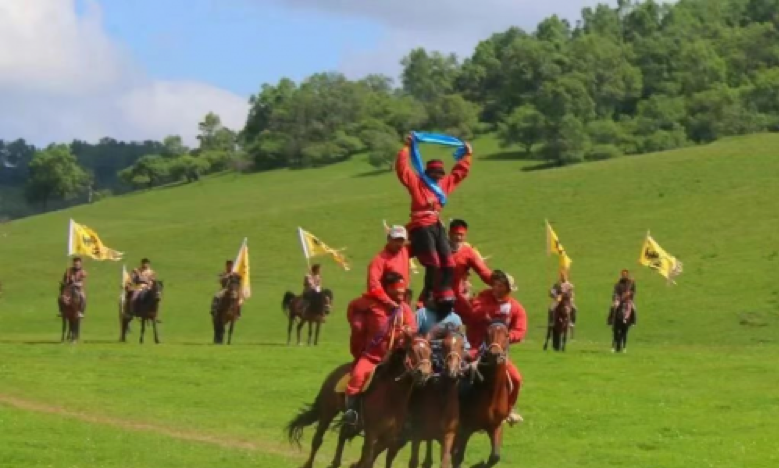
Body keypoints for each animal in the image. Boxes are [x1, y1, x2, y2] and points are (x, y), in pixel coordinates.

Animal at [284, 330, 432, 468]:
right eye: (412, 351)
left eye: (429, 352)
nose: (424, 374)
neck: (391, 396)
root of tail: (335, 373)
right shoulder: (372, 433)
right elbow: (368, 459)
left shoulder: (389, 437)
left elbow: (375, 457)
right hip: (328, 411)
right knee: (318, 439)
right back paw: (309, 463)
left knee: (342, 434)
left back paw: (335, 463)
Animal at [396, 326, 470, 468]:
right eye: (444, 345)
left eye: (462, 346)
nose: (452, 372)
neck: (441, 398)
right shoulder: (417, 433)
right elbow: (413, 461)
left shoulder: (448, 435)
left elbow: (445, 461)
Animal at [454, 322, 516, 468]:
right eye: (487, 334)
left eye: (506, 335)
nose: (494, 354)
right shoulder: (464, 428)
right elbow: (457, 457)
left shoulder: (496, 426)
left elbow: (495, 456)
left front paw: (480, 464)